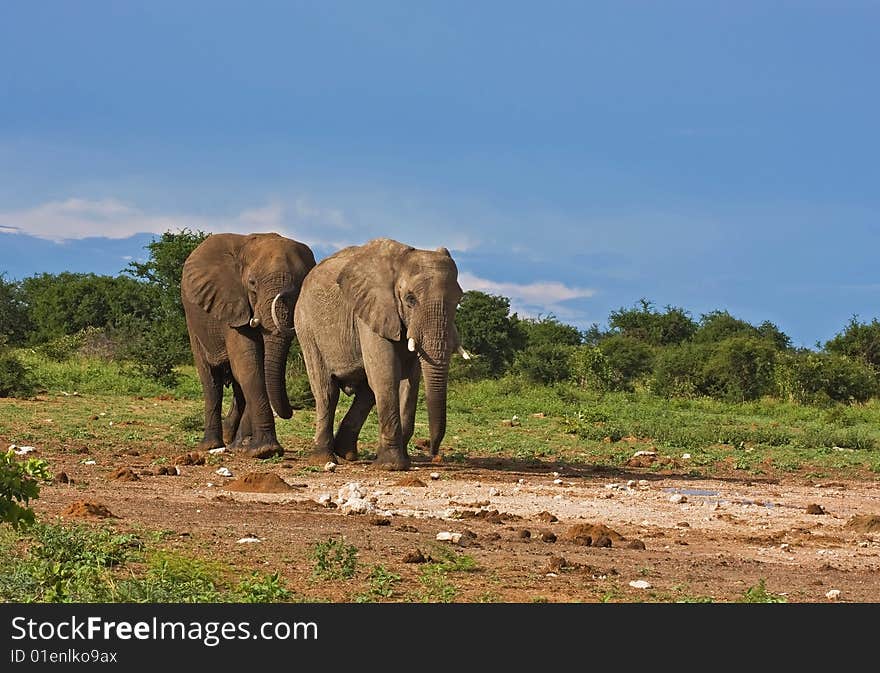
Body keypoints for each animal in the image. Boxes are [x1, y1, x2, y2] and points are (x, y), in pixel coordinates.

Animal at [180, 231, 316, 456]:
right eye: (252, 283)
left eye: (302, 285)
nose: (290, 411)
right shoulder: (232, 304)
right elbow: (248, 365)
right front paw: (265, 451)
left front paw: (251, 447)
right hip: (193, 322)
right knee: (211, 381)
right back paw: (211, 445)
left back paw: (234, 442)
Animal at [292, 239, 464, 470]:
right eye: (410, 299)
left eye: (459, 300)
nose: (433, 452)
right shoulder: (371, 311)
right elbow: (387, 375)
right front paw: (392, 466)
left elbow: (410, 382)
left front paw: (398, 460)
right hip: (306, 327)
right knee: (327, 391)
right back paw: (324, 458)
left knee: (366, 392)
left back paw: (346, 453)